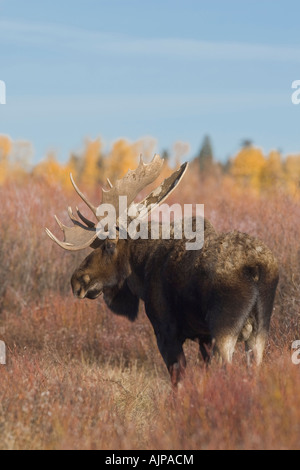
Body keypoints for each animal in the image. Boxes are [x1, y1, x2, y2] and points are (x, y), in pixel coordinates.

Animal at [45, 157, 278, 386]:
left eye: (109, 244)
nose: (77, 280)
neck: (142, 268)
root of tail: (257, 268)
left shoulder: (166, 329)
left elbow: (178, 380)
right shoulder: (203, 338)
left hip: (224, 329)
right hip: (259, 333)